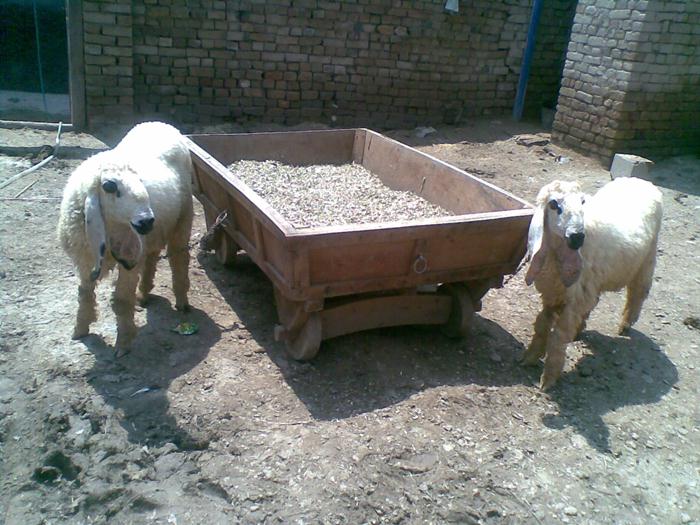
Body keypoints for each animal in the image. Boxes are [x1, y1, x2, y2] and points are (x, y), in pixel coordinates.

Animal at [58, 121, 194, 356]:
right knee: (152, 256)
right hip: (152, 235)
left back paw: (182, 300)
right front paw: (80, 328)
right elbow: (84, 292)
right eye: (109, 186)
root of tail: (159, 123)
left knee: (178, 257)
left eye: (140, 181)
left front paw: (123, 344)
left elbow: (121, 300)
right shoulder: (84, 259)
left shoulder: (129, 260)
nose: (146, 220)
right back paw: (144, 294)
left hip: (183, 218)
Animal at [521, 177, 663, 390]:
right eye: (553, 204)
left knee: (637, 293)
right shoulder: (552, 293)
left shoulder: (574, 298)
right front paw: (529, 357)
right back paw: (580, 328)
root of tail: (641, 181)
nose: (577, 237)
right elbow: (542, 325)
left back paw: (625, 325)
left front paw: (548, 379)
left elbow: (558, 336)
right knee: (594, 301)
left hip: (647, 259)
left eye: (582, 202)